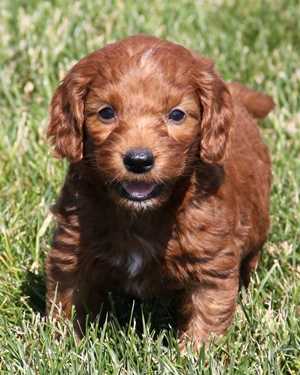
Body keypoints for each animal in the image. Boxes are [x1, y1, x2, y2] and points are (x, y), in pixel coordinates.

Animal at [45, 35, 274, 350]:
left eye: (176, 114)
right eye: (106, 112)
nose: (138, 160)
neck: (141, 214)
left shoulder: (211, 262)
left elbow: (207, 312)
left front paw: (197, 352)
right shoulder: (72, 248)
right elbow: (67, 299)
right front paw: (65, 345)